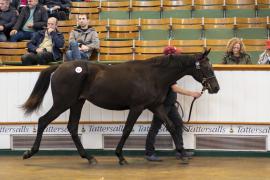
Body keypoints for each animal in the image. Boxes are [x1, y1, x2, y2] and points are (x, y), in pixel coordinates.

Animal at [21, 48, 219, 165]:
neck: (153, 75)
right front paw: (120, 156)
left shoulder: (155, 106)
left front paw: (183, 153)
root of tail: (59, 67)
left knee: (72, 128)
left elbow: (171, 126)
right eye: (205, 67)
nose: (215, 88)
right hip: (63, 102)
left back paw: (89, 157)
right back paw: (29, 152)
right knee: (43, 121)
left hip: (77, 102)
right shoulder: (137, 107)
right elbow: (127, 129)